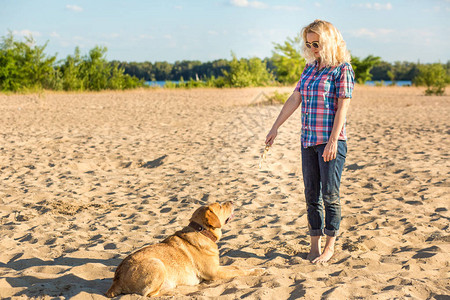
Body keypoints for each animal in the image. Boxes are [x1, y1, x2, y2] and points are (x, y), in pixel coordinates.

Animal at [105, 200, 264, 296]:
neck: (202, 231)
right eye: (219, 206)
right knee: (150, 294)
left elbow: (237, 267)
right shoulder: (214, 273)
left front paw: (257, 268)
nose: (231, 201)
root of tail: (116, 279)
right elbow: (240, 272)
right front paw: (256, 272)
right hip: (157, 264)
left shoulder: (218, 267)